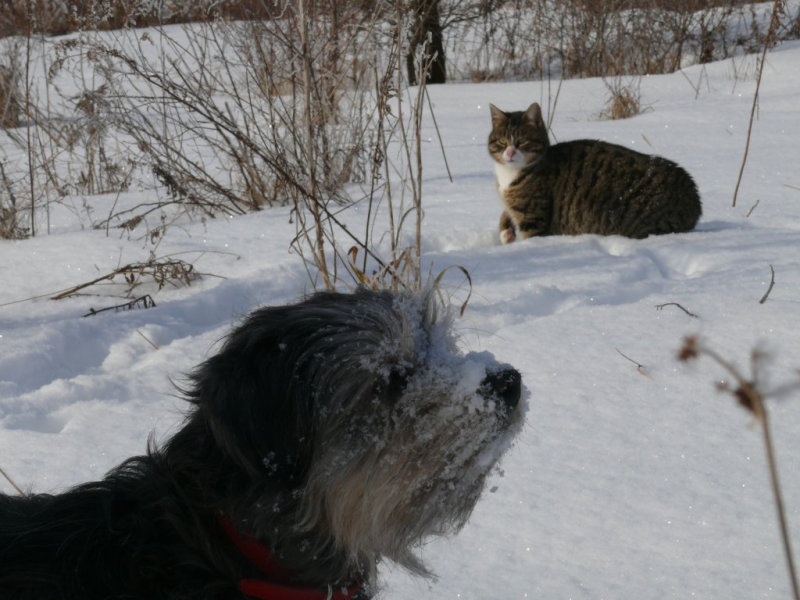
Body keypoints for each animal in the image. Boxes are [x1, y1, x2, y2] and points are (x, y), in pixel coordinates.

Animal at [488, 102, 701, 243]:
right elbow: (504, 215)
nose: (510, 152)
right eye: (502, 141)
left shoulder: (533, 220)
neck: (509, 175)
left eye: (523, 141)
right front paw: (506, 231)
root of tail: (695, 200)